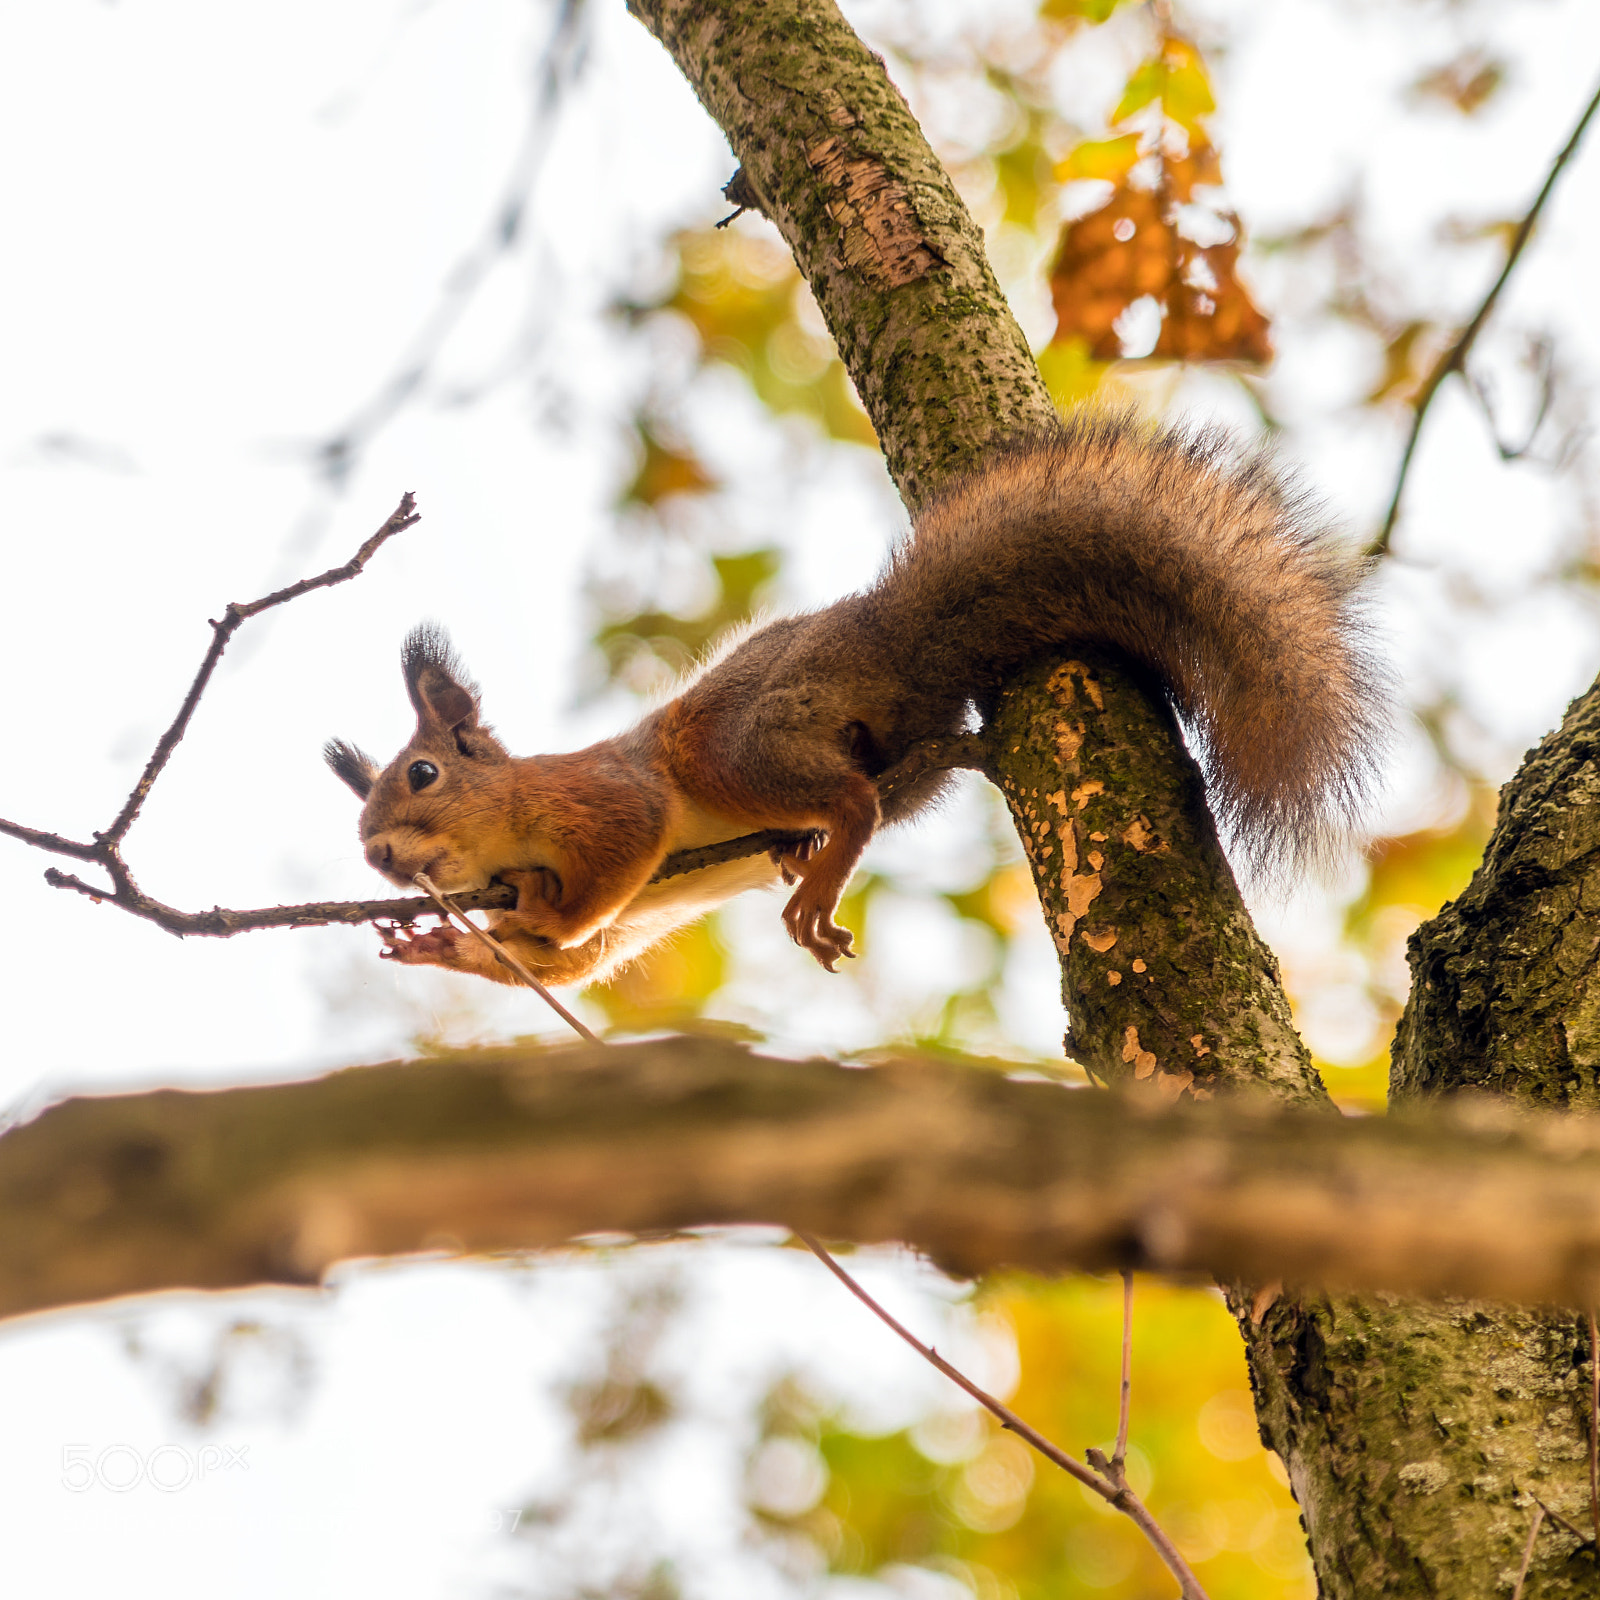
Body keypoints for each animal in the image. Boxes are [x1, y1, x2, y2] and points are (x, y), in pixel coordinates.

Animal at [326, 412, 1387, 988]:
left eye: (422, 774)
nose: (376, 857)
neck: (506, 839)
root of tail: (893, 632)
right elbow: (566, 966)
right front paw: (450, 944)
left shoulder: (604, 801)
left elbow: (603, 884)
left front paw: (540, 917)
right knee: (884, 789)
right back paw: (809, 859)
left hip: (740, 743)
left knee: (851, 798)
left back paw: (819, 877)